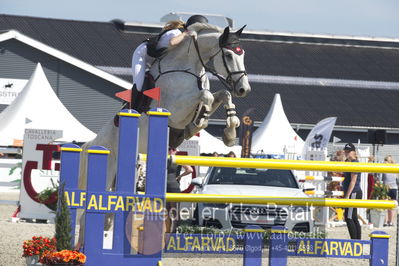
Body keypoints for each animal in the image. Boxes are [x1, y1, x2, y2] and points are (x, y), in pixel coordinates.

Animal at [76, 22, 252, 245]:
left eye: (242, 53)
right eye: (228, 55)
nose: (244, 89)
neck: (189, 67)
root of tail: (92, 143)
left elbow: (222, 95)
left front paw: (229, 130)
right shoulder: (174, 110)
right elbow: (207, 96)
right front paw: (201, 124)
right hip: (107, 172)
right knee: (85, 215)